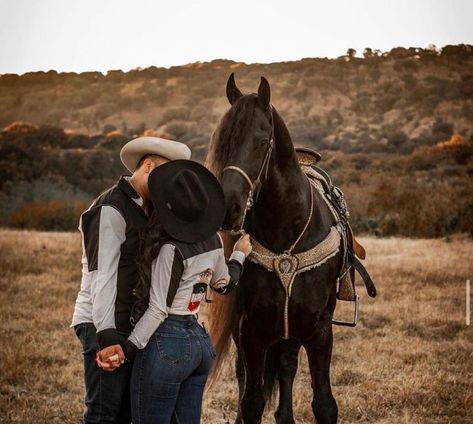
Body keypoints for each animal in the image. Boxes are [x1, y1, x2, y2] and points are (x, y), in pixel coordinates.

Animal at [205, 74, 344, 422]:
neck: (286, 239)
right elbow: (251, 401)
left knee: (286, 366)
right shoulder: (251, 330)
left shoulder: (319, 329)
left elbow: (324, 404)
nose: (228, 208)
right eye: (223, 141)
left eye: (261, 141)